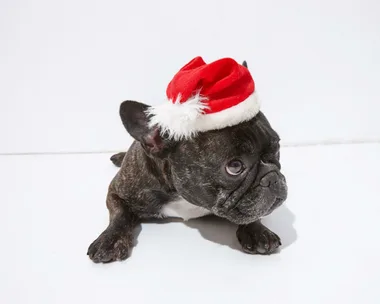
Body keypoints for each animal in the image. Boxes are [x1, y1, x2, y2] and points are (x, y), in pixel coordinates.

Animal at [87, 58, 288, 262]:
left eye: (277, 148)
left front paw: (258, 232)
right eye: (235, 166)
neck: (181, 196)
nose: (272, 177)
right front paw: (110, 239)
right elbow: (119, 215)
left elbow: (256, 214)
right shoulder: (117, 191)